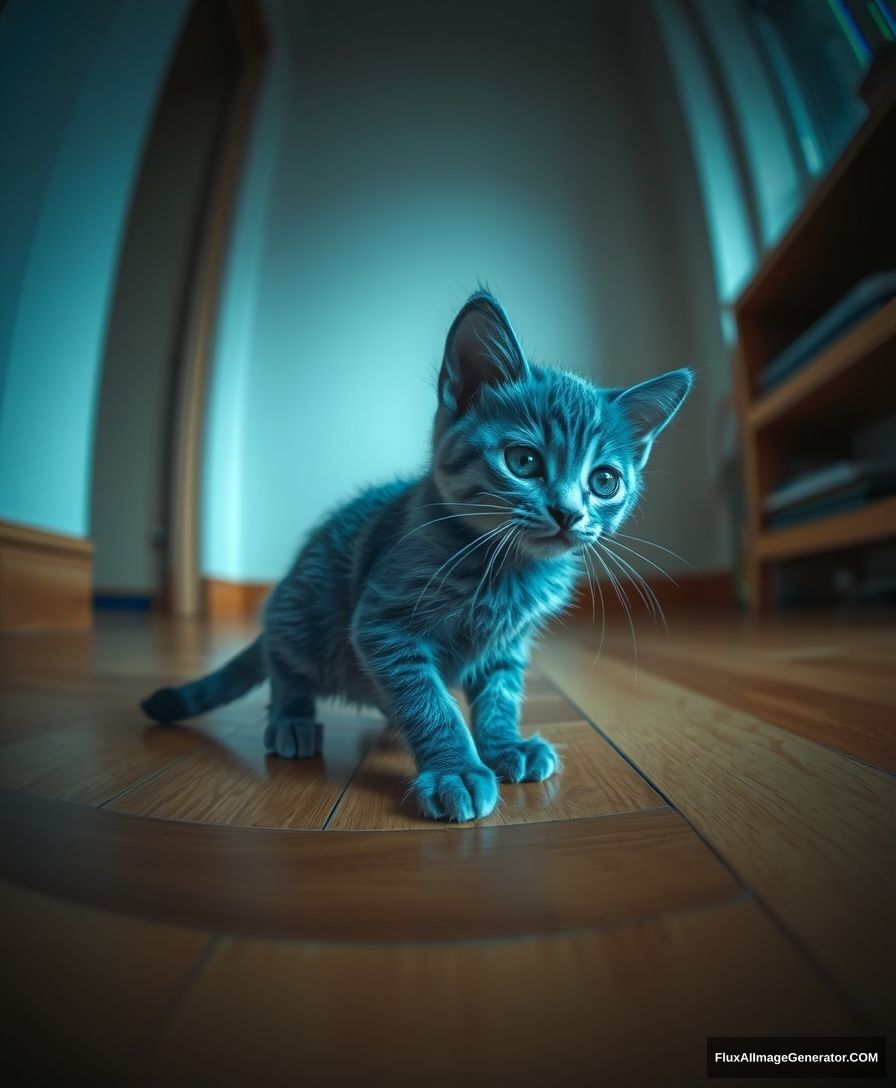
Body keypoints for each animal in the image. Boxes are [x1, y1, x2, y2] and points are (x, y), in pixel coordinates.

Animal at [141, 289, 691, 818]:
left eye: (604, 482)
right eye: (523, 461)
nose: (569, 512)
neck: (506, 569)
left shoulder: (507, 646)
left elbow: (500, 696)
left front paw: (503, 745)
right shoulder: (382, 624)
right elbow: (428, 701)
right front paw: (456, 771)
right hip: (307, 608)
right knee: (285, 661)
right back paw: (291, 719)